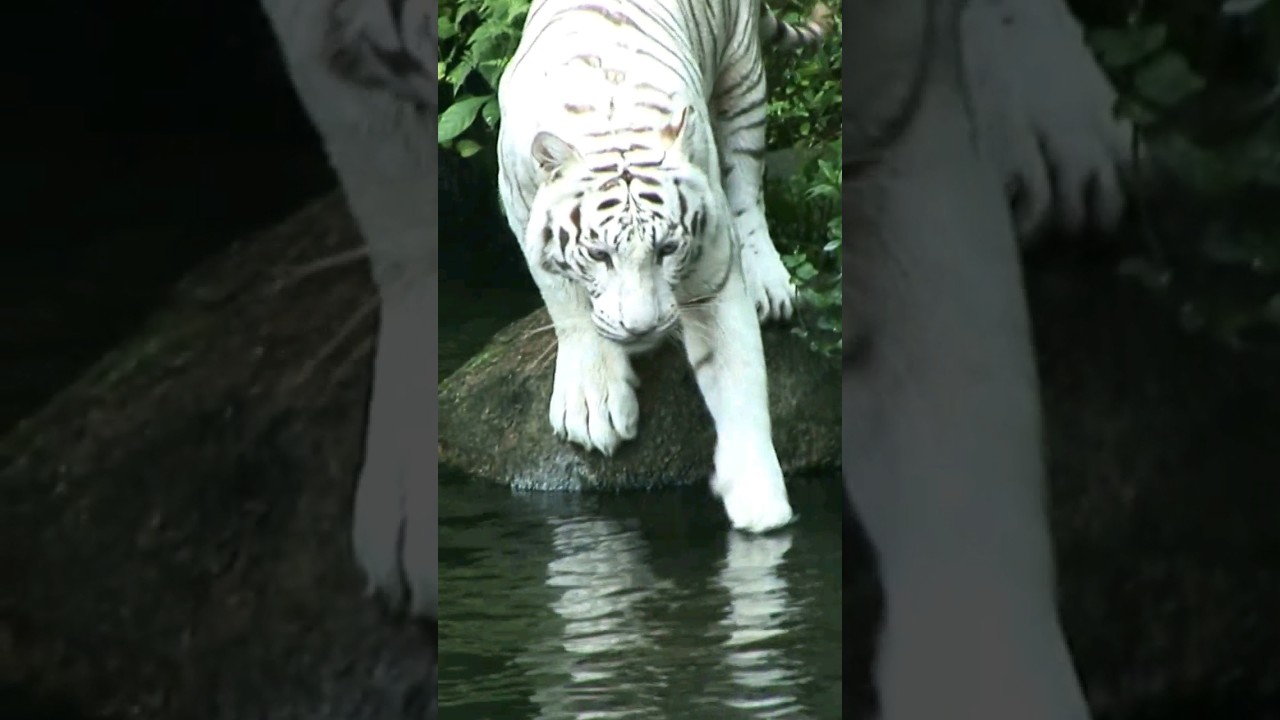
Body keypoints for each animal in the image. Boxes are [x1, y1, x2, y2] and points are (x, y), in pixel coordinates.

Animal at [494, 1, 835, 534]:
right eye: (599, 254)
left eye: (668, 249)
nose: (642, 328)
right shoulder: (518, 201)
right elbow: (567, 304)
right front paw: (593, 405)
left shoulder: (712, 263)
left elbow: (736, 375)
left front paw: (762, 509)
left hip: (742, 78)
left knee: (748, 184)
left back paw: (770, 284)